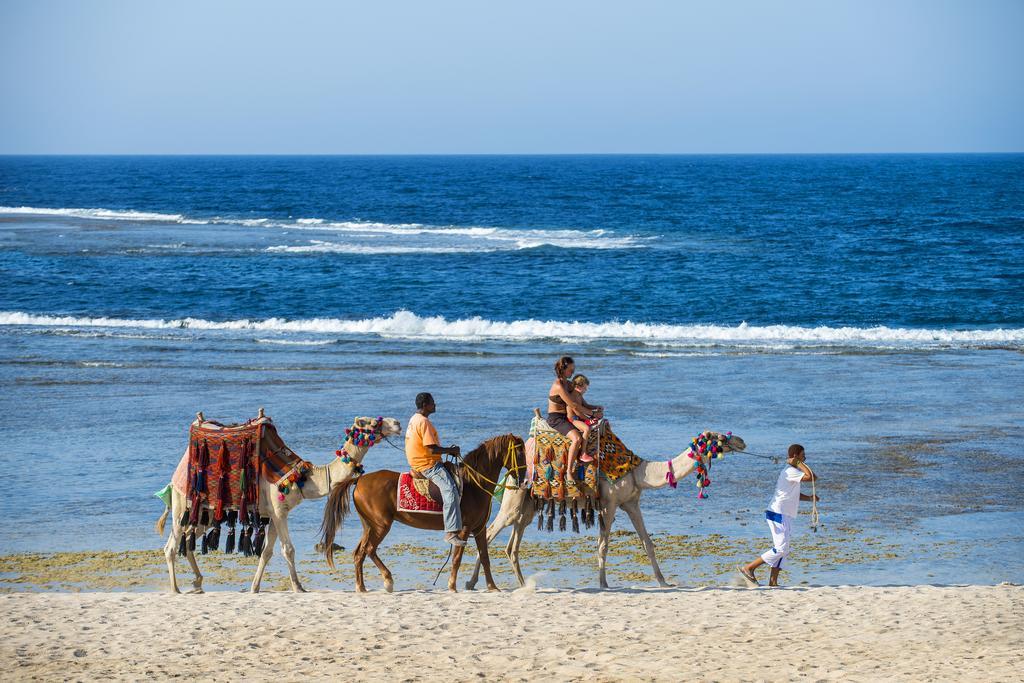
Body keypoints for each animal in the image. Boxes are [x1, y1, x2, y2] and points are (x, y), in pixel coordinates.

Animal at [155, 411, 399, 593]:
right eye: (371, 422)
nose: (396, 423)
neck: (302, 478)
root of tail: (175, 477)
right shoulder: (280, 511)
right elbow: (288, 549)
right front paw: (299, 587)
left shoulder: (275, 513)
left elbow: (267, 552)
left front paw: (254, 588)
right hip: (181, 506)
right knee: (171, 545)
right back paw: (176, 589)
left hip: (204, 513)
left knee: (187, 540)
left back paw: (197, 582)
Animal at [319, 438, 528, 593]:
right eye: (520, 452)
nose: (525, 481)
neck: (473, 484)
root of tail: (359, 480)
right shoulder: (464, 529)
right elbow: (457, 558)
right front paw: (452, 586)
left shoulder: (479, 528)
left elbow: (484, 557)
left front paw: (492, 587)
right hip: (381, 525)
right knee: (369, 550)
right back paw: (388, 581)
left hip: (369, 525)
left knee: (359, 553)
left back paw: (361, 587)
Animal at [464, 413, 745, 589]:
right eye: (719, 438)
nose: (741, 440)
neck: (638, 471)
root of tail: (510, 472)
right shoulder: (609, 503)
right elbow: (603, 545)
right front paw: (603, 583)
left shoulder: (631, 503)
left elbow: (648, 543)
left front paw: (664, 582)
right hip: (513, 503)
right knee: (489, 532)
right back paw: (475, 582)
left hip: (527, 507)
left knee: (511, 545)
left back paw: (519, 584)